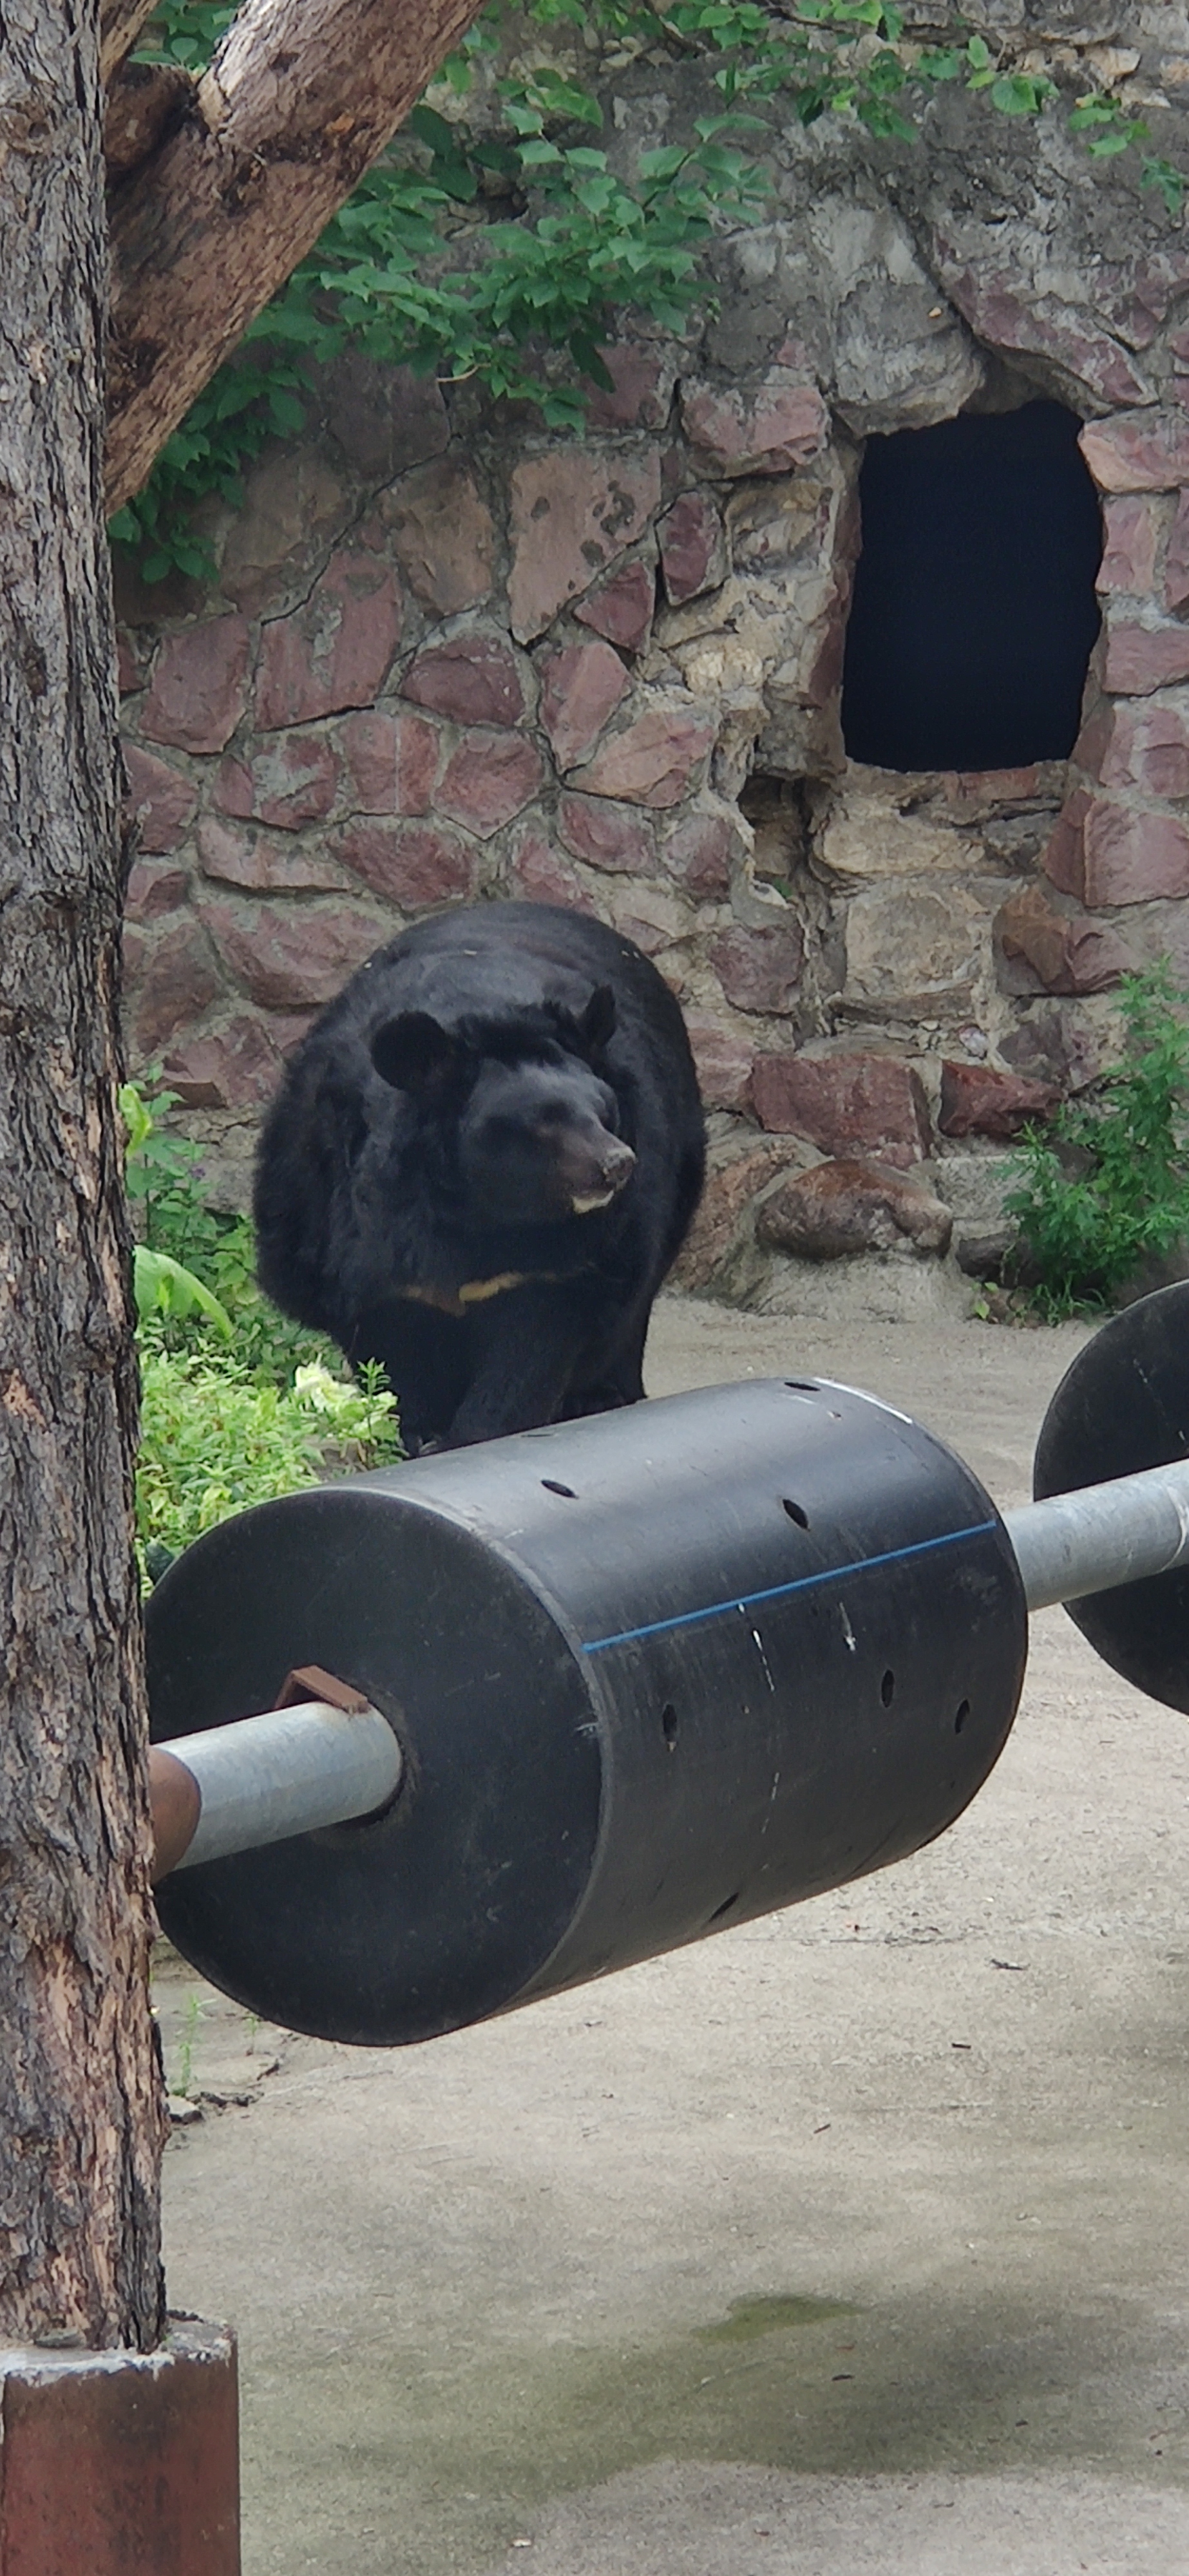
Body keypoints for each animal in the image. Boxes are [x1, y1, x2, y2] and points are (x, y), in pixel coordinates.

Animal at [253, 902, 705, 1453]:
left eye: (603, 1112)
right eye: (544, 1123)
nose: (617, 1164)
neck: (478, 1212)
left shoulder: (566, 1262)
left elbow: (531, 1352)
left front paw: (477, 1435)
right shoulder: (345, 1228)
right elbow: (390, 1342)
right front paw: (423, 1433)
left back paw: (602, 1396)